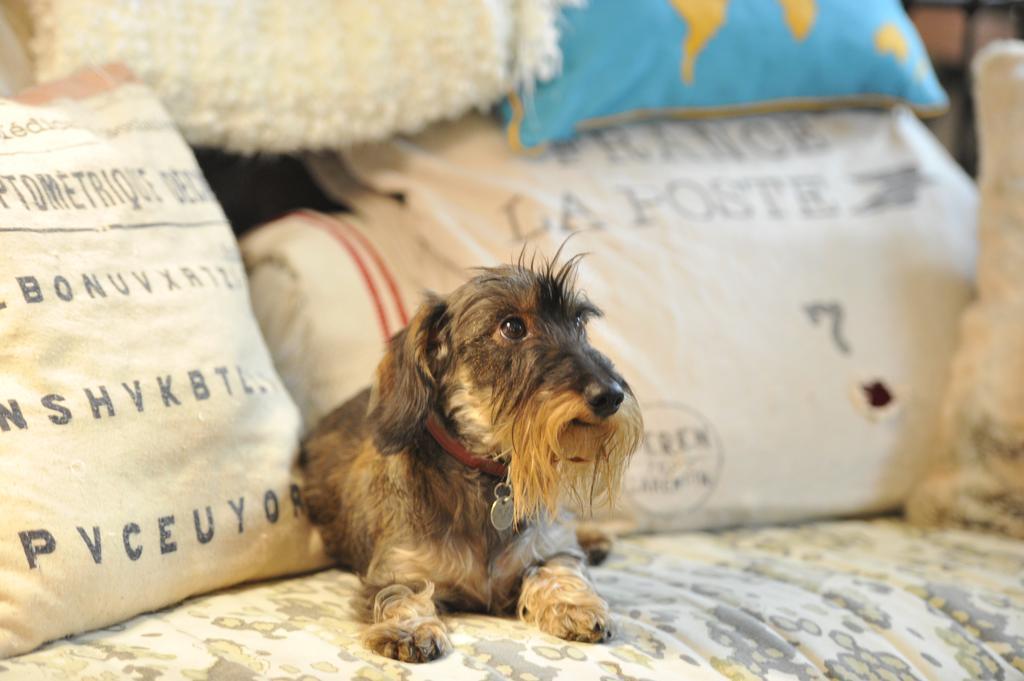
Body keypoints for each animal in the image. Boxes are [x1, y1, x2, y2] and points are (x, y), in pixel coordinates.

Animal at [299, 251, 643, 659]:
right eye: (512, 326)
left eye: (577, 321)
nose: (610, 395)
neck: (485, 476)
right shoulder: (396, 567)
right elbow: (400, 595)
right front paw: (410, 630)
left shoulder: (547, 549)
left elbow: (558, 565)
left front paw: (575, 605)